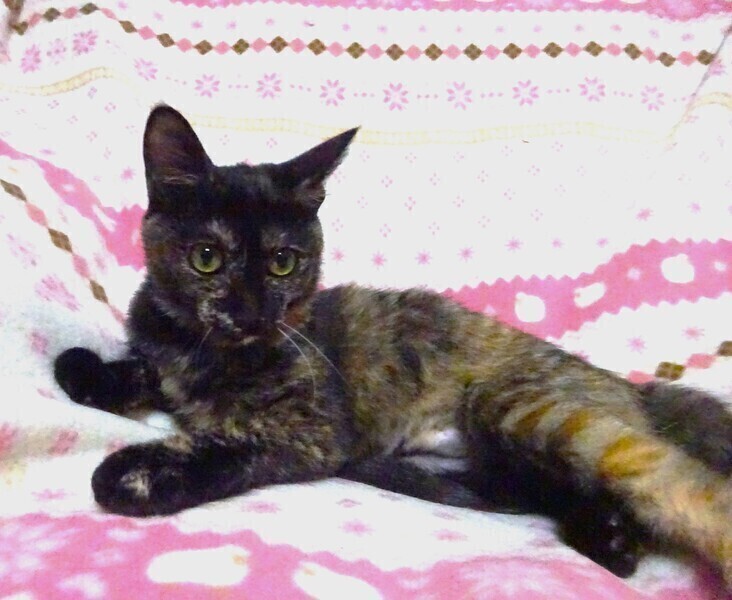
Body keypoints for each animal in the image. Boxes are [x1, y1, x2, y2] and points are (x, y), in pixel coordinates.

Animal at [55, 104, 732, 584]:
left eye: (282, 263)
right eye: (206, 257)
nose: (250, 313)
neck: (204, 353)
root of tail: (636, 389)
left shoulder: (311, 429)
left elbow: (226, 441)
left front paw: (140, 473)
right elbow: (133, 367)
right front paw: (91, 371)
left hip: (522, 408)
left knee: (675, 482)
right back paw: (611, 540)